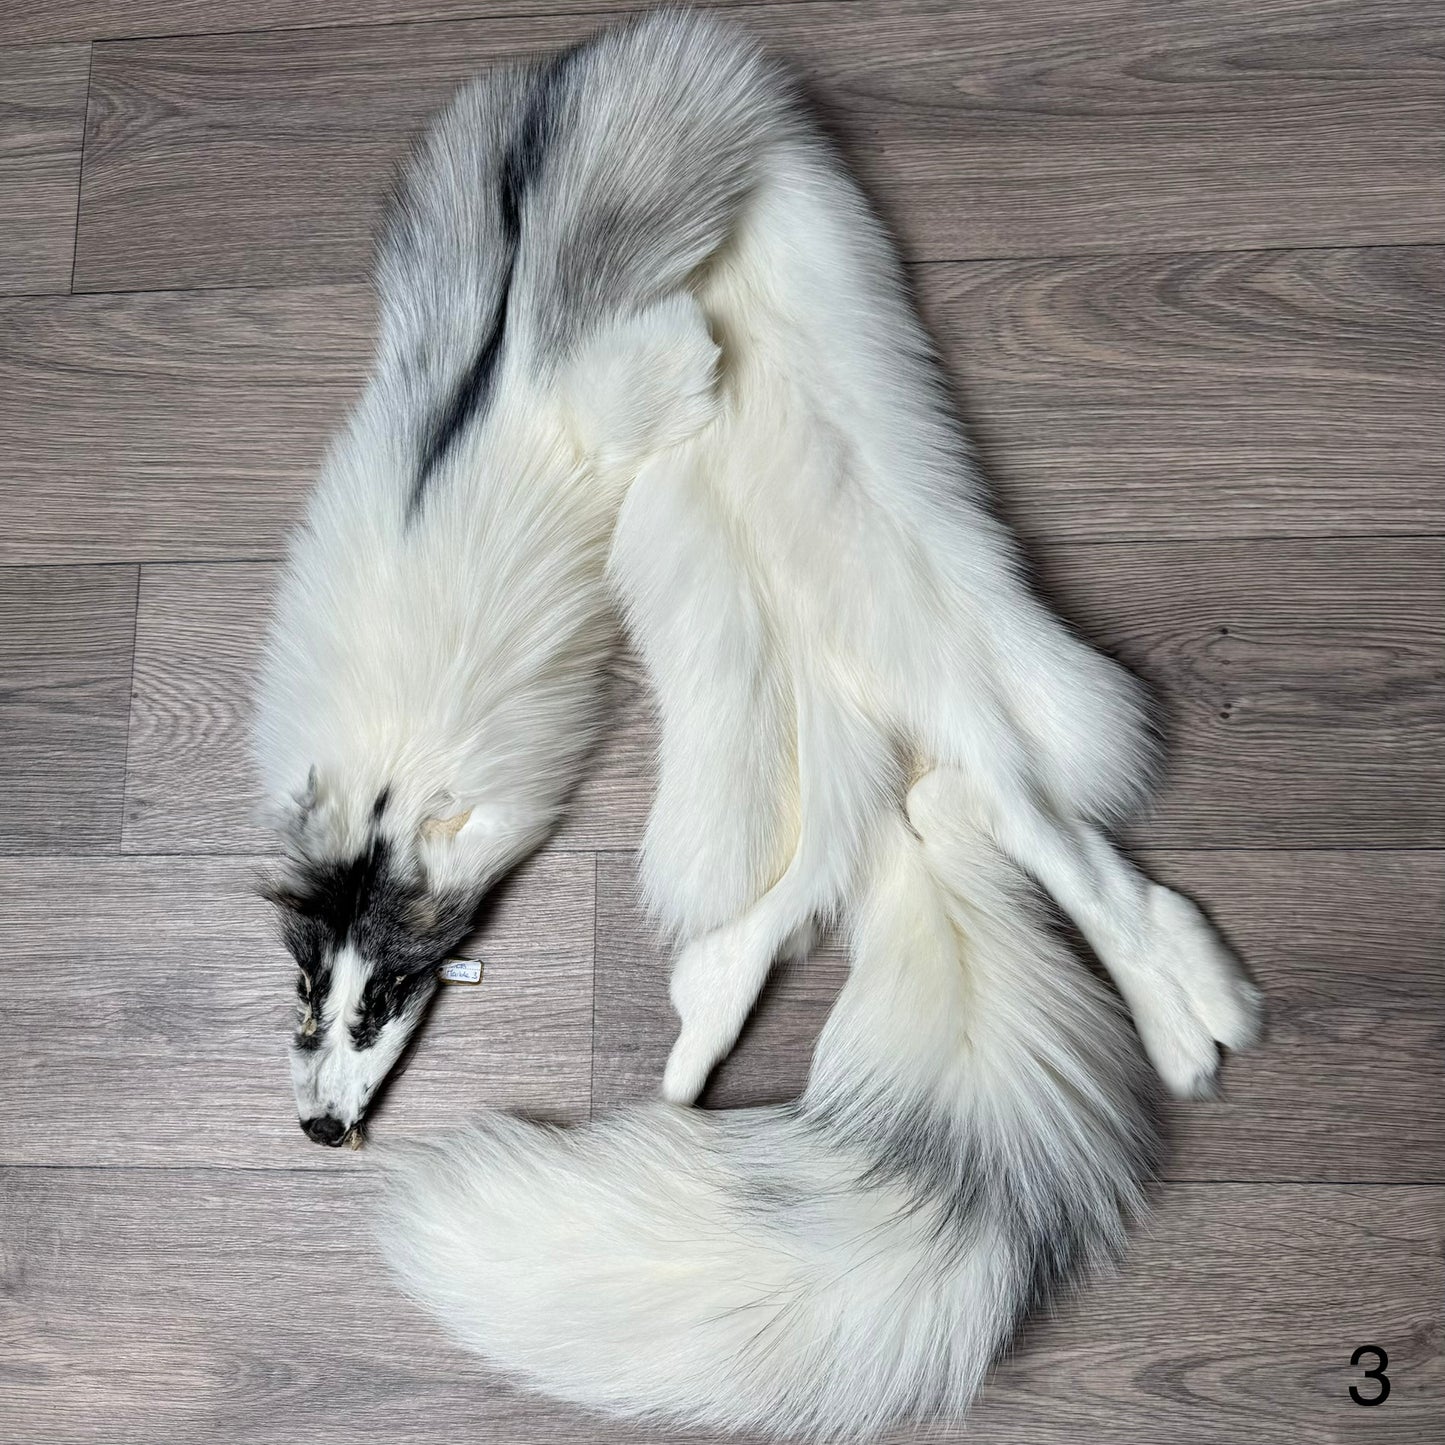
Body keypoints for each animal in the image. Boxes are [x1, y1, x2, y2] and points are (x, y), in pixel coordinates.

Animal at [253, 11, 1262, 1435]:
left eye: (388, 993)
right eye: (303, 991)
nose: (318, 1132)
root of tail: (610, 44)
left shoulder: (599, 382)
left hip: (839, 541)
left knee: (1009, 790)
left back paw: (1185, 1018)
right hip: (760, 611)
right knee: (874, 830)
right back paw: (704, 1051)